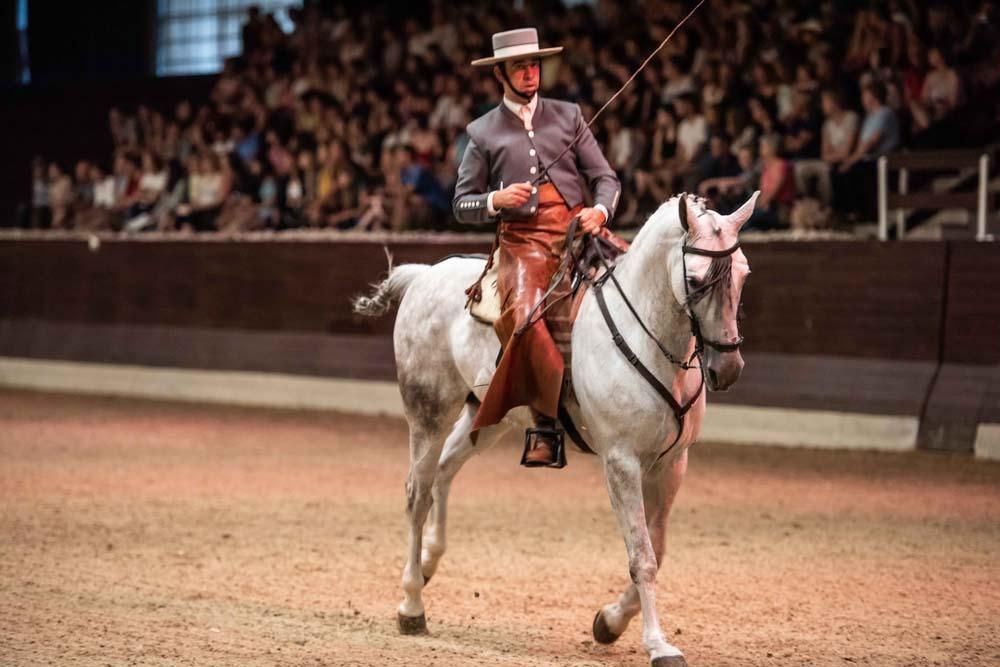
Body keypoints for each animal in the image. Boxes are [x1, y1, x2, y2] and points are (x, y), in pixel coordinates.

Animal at [356, 190, 752, 664]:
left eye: (743, 272)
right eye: (695, 279)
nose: (728, 368)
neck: (648, 338)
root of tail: (424, 275)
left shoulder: (672, 463)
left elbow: (657, 547)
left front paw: (609, 622)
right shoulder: (621, 462)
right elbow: (642, 555)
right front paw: (657, 644)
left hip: (486, 416)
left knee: (443, 474)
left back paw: (431, 562)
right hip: (429, 411)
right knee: (417, 493)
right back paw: (412, 604)